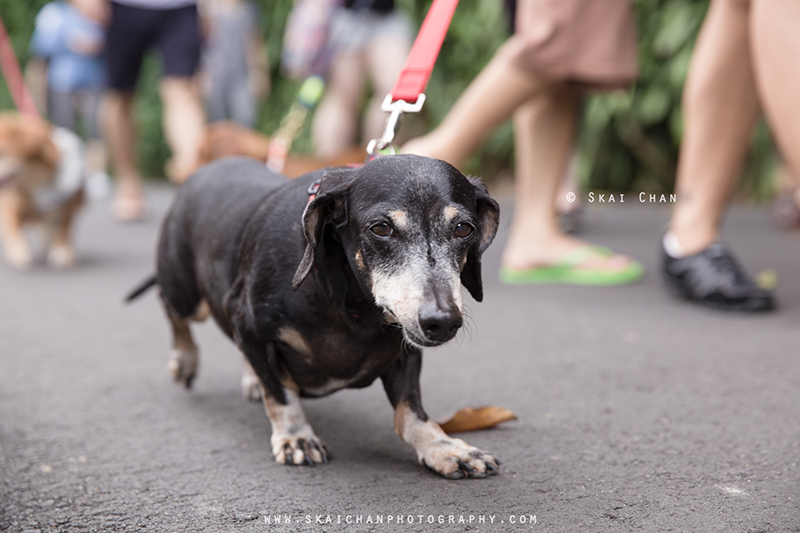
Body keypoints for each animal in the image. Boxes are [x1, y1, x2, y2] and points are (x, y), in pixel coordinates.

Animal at [0, 114, 85, 268]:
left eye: (2, 152)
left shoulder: (68, 207)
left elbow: (63, 229)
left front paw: (62, 251)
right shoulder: (13, 206)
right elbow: (15, 229)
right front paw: (18, 252)